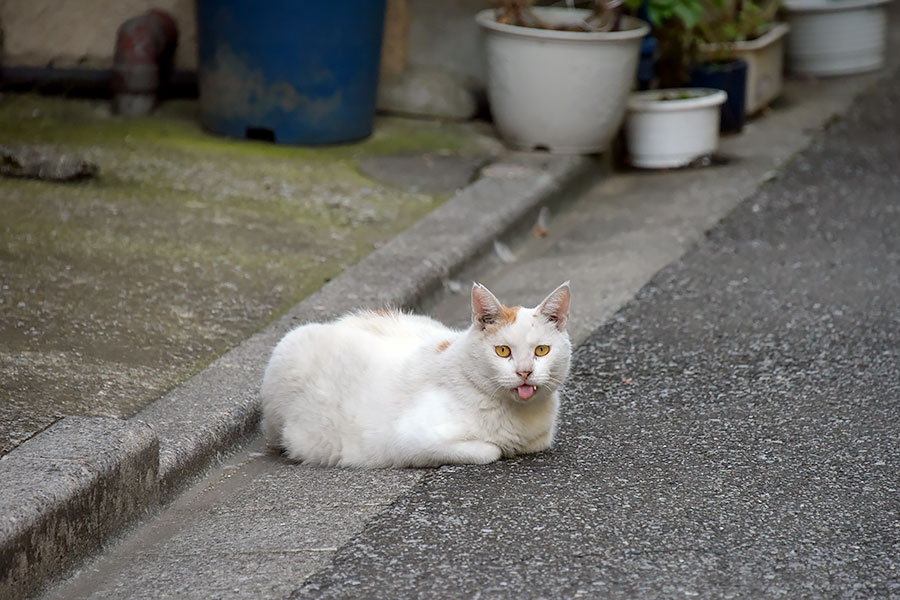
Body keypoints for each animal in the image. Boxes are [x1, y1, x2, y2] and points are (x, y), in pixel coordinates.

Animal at [258, 282, 568, 468]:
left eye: (541, 350)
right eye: (503, 351)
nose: (524, 372)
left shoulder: (540, 438)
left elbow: (532, 443)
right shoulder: (407, 440)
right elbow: (491, 451)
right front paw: (499, 448)